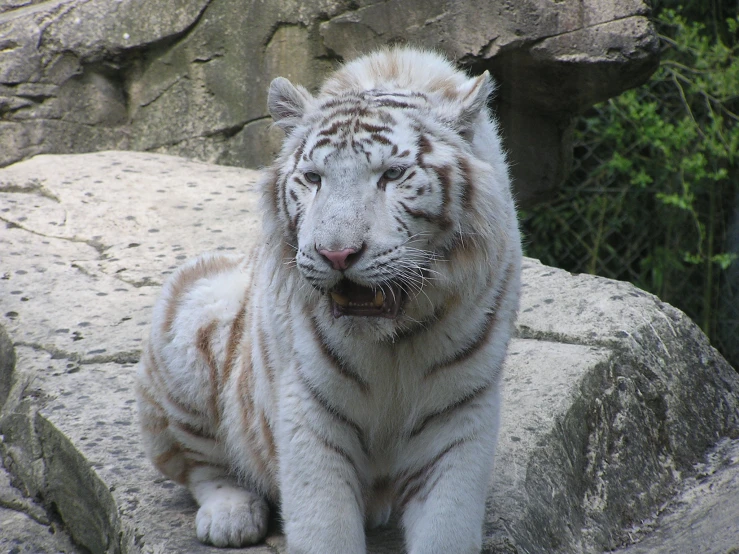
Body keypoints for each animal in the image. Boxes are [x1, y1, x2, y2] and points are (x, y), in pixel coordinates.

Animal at [136, 48, 524, 552]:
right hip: (194, 320)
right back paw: (230, 517)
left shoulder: (459, 413)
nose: (336, 253)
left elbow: (447, 527)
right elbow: (324, 524)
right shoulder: (310, 409)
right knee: (200, 465)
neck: (393, 342)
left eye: (392, 174)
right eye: (313, 178)